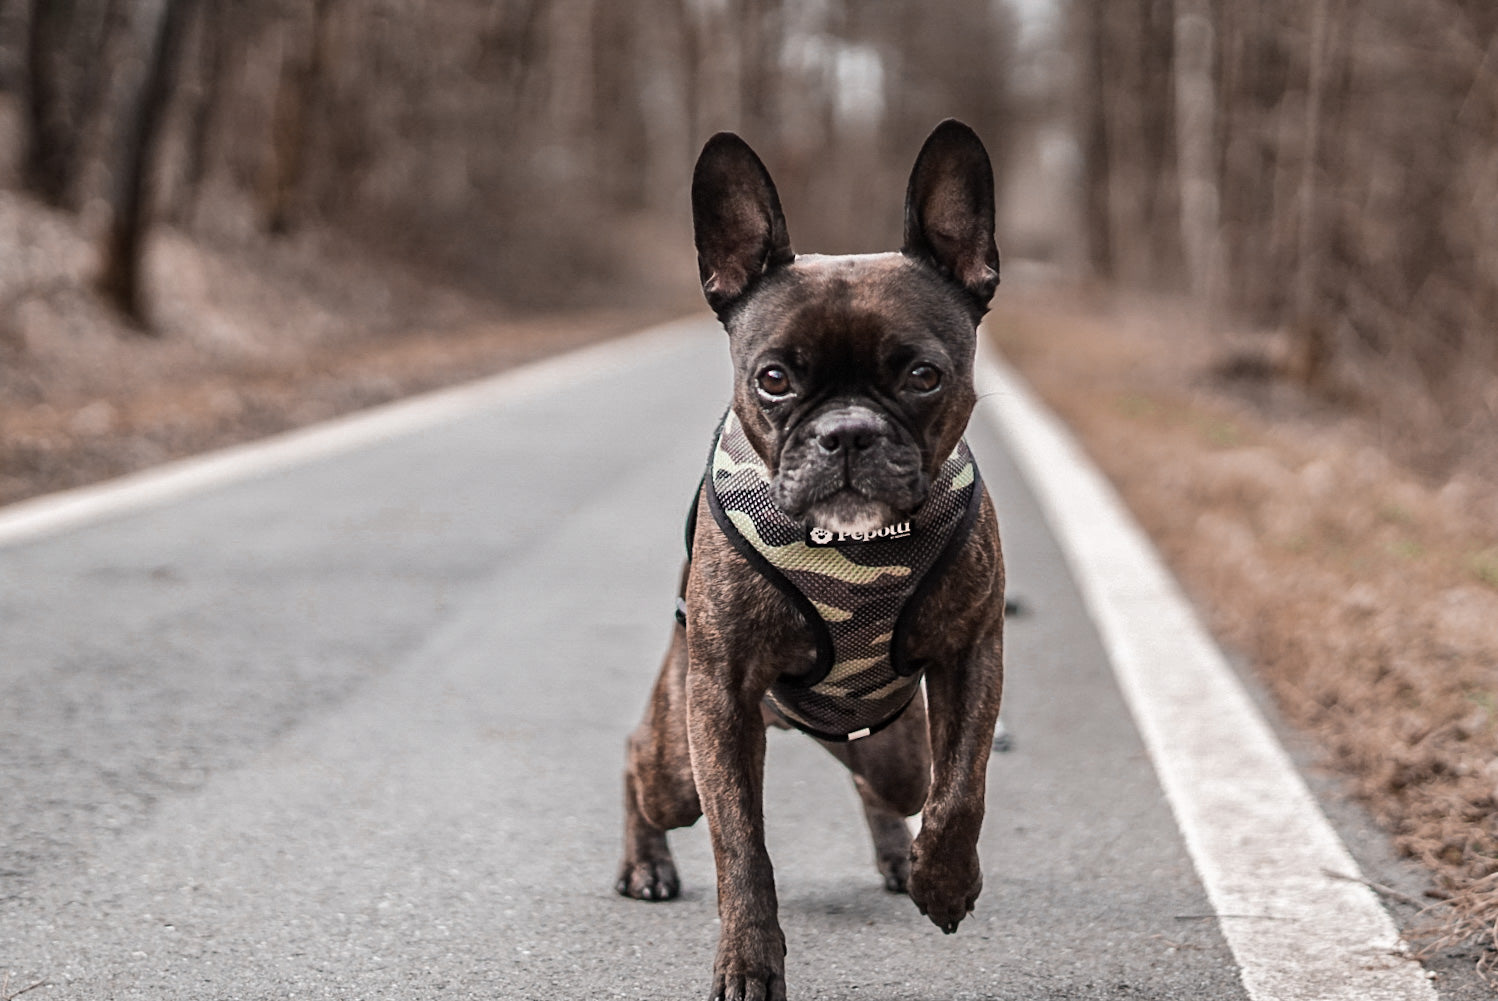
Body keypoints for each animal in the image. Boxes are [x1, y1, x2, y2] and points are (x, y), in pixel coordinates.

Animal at [620, 121, 1006, 995]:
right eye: (773, 377)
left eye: (924, 375)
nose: (848, 432)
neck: (850, 548)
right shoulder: (719, 701)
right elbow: (741, 847)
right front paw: (749, 958)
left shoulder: (973, 653)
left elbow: (961, 787)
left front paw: (944, 878)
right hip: (678, 756)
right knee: (639, 767)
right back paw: (645, 864)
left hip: (893, 742)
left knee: (887, 784)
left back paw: (902, 858)